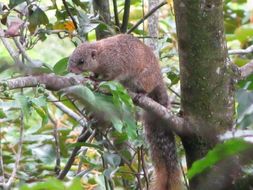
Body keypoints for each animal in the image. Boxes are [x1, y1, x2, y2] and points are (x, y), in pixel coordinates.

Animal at [67, 34, 182, 190]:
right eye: (71, 58)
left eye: (81, 61)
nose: (70, 69)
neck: (102, 55)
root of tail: (158, 78)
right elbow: (97, 74)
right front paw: (92, 77)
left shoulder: (115, 67)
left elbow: (110, 77)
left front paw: (98, 81)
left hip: (143, 79)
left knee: (144, 88)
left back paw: (141, 94)